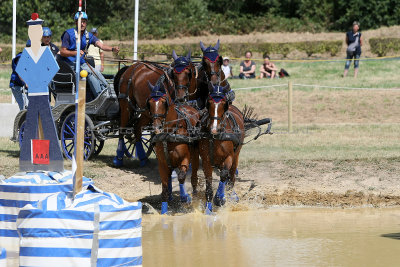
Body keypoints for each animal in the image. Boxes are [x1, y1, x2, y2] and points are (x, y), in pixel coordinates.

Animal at [147, 81, 200, 216]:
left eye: (163, 102)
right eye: (149, 103)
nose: (156, 127)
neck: (170, 132)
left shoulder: (185, 158)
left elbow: (181, 176)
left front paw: (185, 198)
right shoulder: (162, 163)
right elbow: (165, 186)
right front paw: (164, 211)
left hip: (196, 155)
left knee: (194, 176)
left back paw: (194, 194)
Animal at [199, 83, 244, 214]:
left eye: (224, 103)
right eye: (209, 102)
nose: (214, 129)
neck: (215, 137)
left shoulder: (229, 157)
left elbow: (224, 174)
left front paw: (219, 199)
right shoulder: (206, 160)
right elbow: (208, 184)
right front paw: (208, 209)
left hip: (236, 155)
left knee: (231, 177)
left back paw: (231, 195)